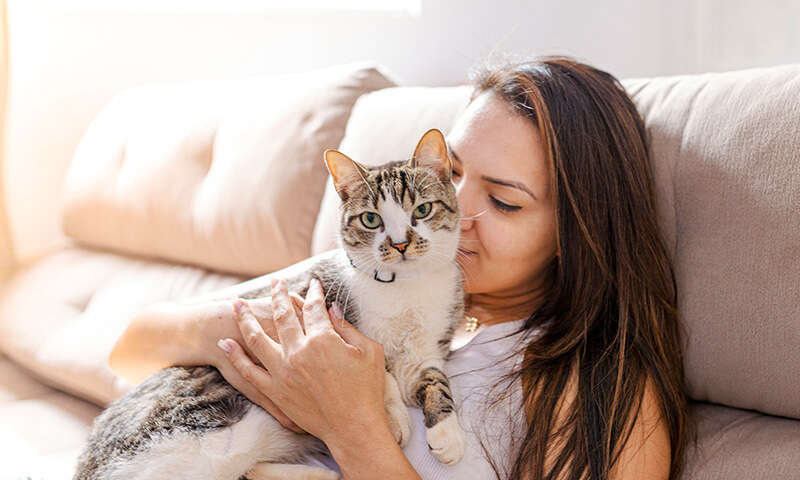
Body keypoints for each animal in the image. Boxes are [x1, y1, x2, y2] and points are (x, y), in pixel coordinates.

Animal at [73, 128, 468, 480]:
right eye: (371, 219)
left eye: (422, 210)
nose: (401, 244)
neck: (406, 289)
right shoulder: (323, 305)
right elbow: (381, 372)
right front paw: (396, 419)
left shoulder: (427, 349)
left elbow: (435, 379)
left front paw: (448, 434)